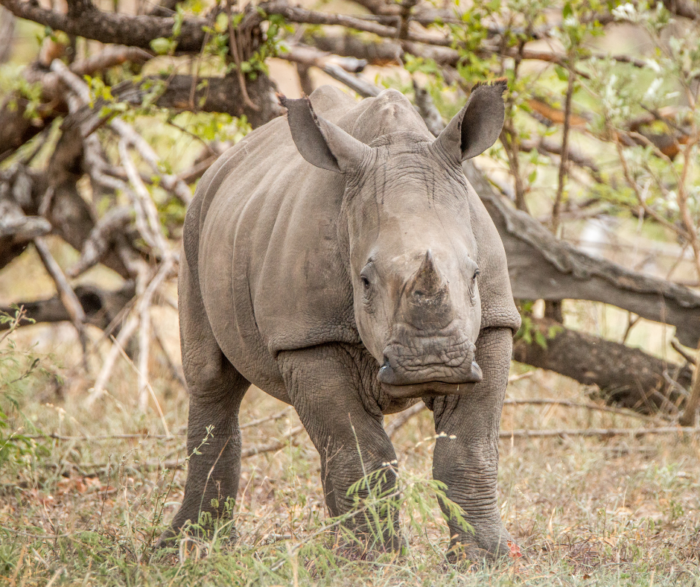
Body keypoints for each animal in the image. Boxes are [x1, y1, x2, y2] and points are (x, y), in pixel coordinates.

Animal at [159, 81, 520, 560]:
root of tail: (225, 162)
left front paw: (485, 559)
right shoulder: (308, 337)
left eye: (475, 274)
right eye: (365, 281)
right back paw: (188, 549)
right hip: (195, 223)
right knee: (211, 381)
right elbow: (359, 451)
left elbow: (469, 451)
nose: (433, 364)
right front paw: (373, 561)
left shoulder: (493, 324)